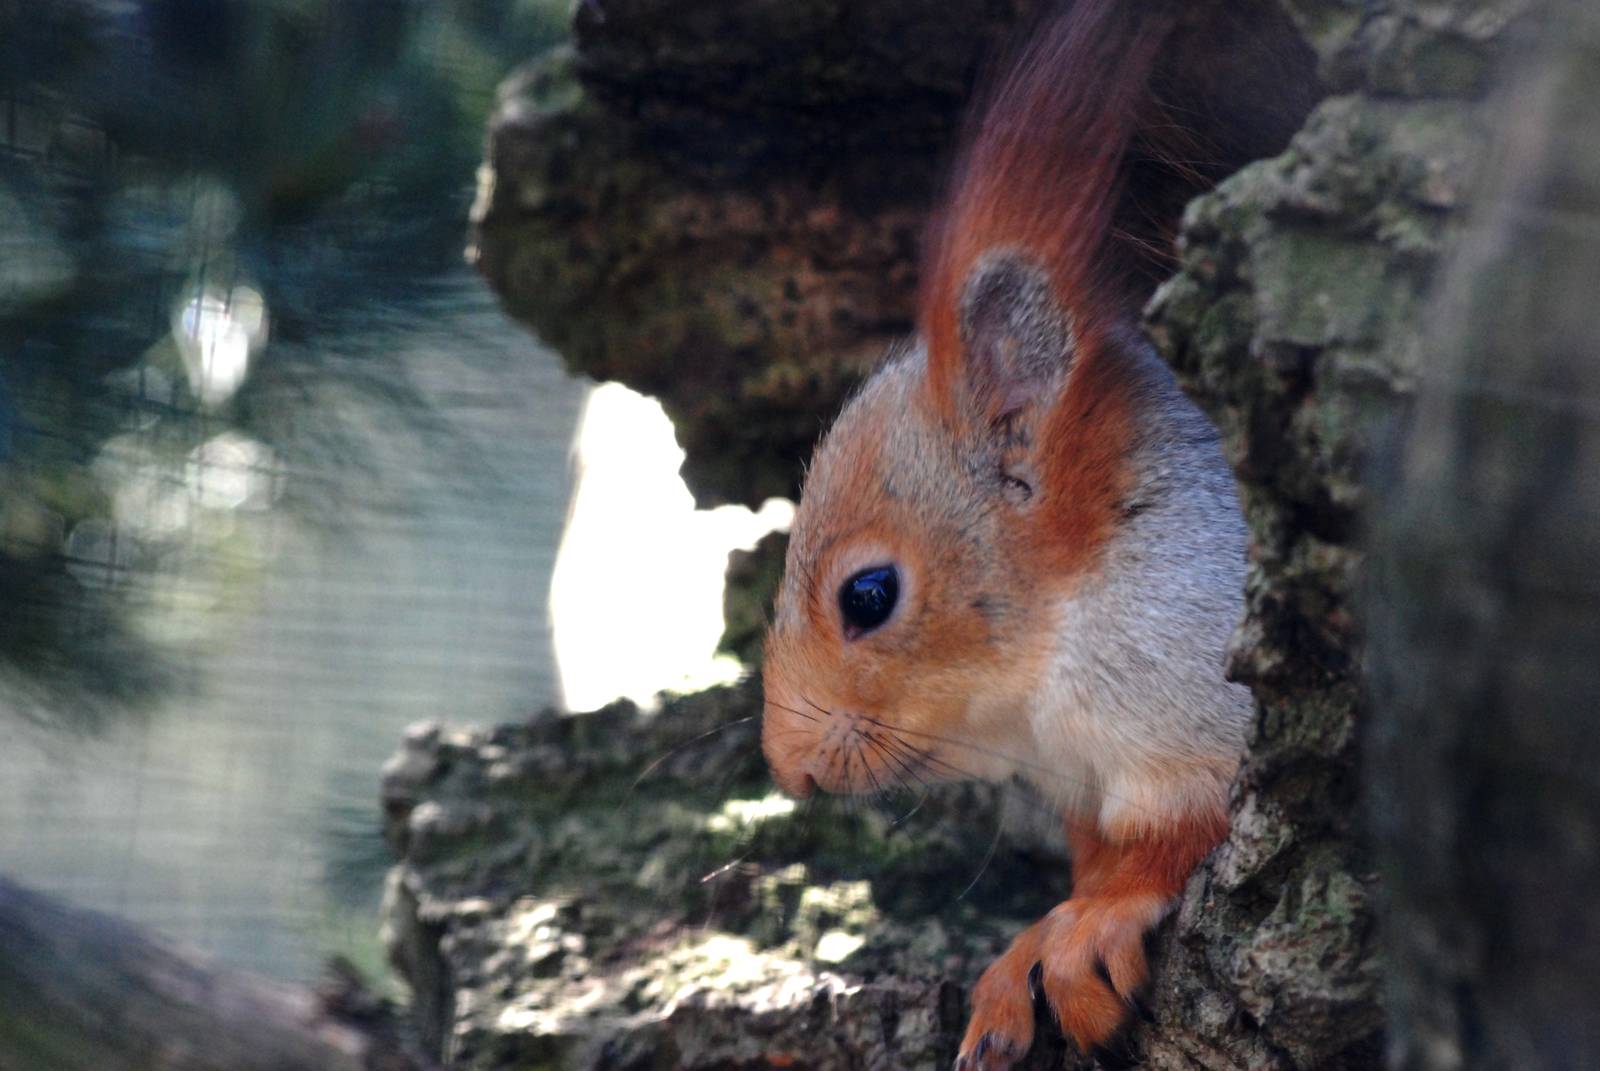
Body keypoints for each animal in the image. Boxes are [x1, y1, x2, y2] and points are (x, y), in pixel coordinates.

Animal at [760, 1, 1318, 1066]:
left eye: (868, 595)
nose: (787, 767)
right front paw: (1028, 948)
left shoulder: (1210, 693)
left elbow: (1174, 841)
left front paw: (1086, 929)